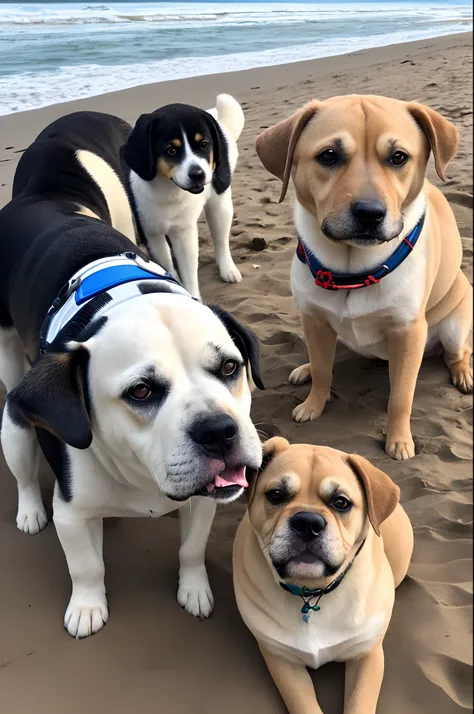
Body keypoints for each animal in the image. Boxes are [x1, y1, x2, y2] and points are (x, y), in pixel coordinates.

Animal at [0, 114, 262, 636]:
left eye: (230, 367)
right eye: (141, 391)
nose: (220, 431)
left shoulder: (205, 499)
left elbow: (191, 548)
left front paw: (193, 588)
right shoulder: (73, 511)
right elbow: (86, 565)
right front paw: (87, 606)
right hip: (12, 396)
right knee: (21, 462)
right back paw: (29, 510)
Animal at [235, 436, 412, 712]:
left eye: (341, 502)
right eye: (276, 495)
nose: (308, 523)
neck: (312, 590)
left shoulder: (367, 655)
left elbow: (360, 704)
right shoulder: (281, 660)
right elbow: (304, 705)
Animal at [258, 96, 472, 462]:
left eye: (398, 157)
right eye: (328, 155)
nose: (370, 213)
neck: (352, 272)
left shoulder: (408, 332)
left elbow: (401, 396)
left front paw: (398, 440)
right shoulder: (313, 318)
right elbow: (323, 369)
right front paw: (313, 402)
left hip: (455, 325)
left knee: (457, 352)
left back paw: (462, 372)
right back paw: (304, 368)